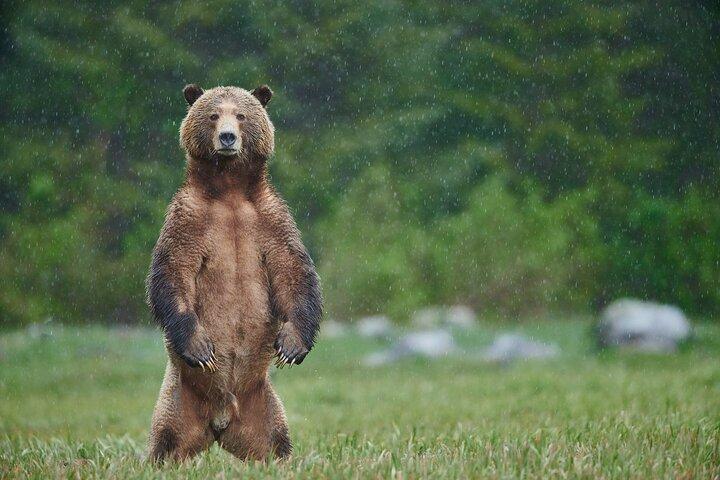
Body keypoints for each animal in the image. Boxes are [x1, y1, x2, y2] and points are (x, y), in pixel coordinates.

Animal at [145, 84, 322, 463]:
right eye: (214, 114)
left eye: (241, 115)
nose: (227, 137)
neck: (229, 189)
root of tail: (220, 422)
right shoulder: (189, 219)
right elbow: (172, 274)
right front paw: (201, 348)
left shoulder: (270, 220)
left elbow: (294, 274)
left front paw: (291, 346)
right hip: (178, 397)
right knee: (165, 437)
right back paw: (158, 459)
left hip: (262, 403)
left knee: (277, 438)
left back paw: (279, 458)